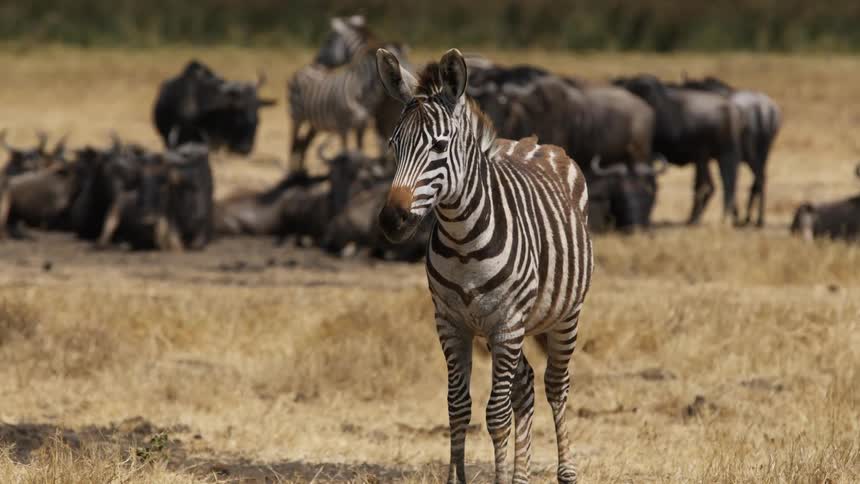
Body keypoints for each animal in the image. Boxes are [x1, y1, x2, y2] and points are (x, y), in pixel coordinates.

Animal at [376, 48, 594, 484]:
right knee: (525, 386)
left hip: (564, 316)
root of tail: (533, 142)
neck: (464, 244)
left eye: (439, 146)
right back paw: (520, 475)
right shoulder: (450, 323)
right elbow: (458, 407)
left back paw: (566, 472)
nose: (393, 220)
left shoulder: (506, 323)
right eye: (394, 144)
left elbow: (495, 414)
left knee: (555, 385)